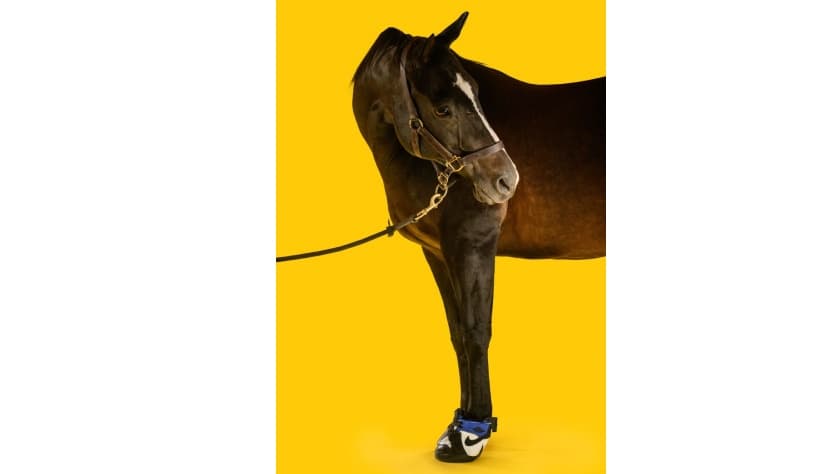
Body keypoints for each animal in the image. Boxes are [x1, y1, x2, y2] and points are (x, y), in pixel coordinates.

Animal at [351, 12, 605, 462]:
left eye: (478, 98)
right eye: (443, 108)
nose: (506, 180)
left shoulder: (473, 244)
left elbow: (476, 331)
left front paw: (471, 434)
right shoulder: (438, 253)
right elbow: (457, 334)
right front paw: (460, 422)